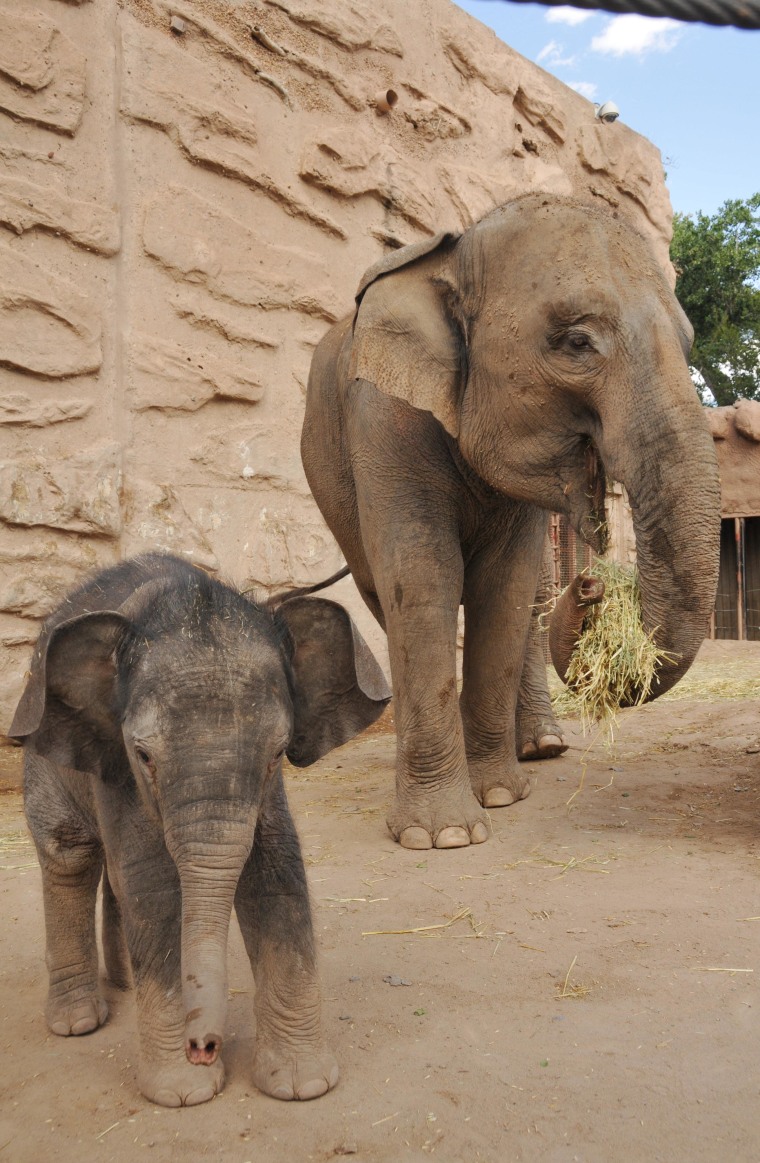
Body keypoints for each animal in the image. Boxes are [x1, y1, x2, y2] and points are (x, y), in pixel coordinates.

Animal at [10, 553, 391, 1107]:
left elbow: (276, 872)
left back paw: (125, 985)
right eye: (144, 755)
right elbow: (152, 885)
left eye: (279, 753)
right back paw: (77, 1021)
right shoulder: (119, 768)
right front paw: (184, 1093)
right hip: (43, 749)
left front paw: (303, 1085)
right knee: (69, 854)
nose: (204, 1046)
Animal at [300, 188, 716, 846]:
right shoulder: (385, 416)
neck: (457, 256)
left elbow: (505, 586)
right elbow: (421, 577)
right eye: (576, 342)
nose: (593, 583)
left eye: (688, 341)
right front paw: (443, 835)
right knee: (383, 597)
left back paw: (540, 749)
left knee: (531, 595)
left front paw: (498, 796)